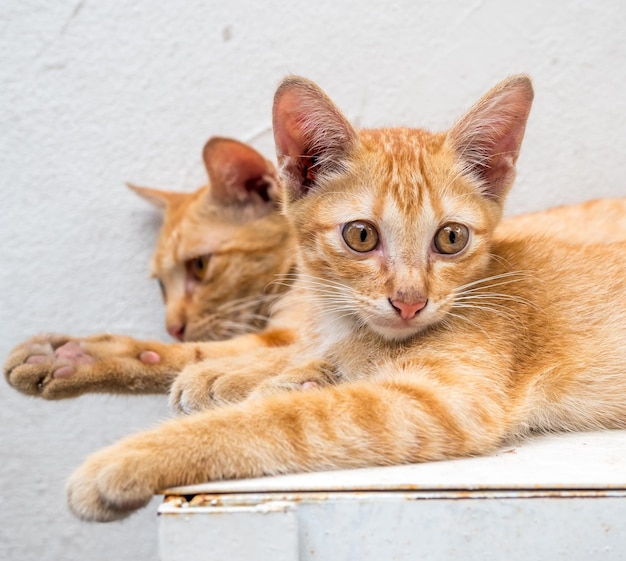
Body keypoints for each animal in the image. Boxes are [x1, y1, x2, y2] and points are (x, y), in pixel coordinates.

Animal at [19, 73, 620, 520]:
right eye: (361, 236)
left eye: (451, 239)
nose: (410, 301)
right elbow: (271, 359)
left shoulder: (440, 402)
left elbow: (286, 418)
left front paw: (135, 455)